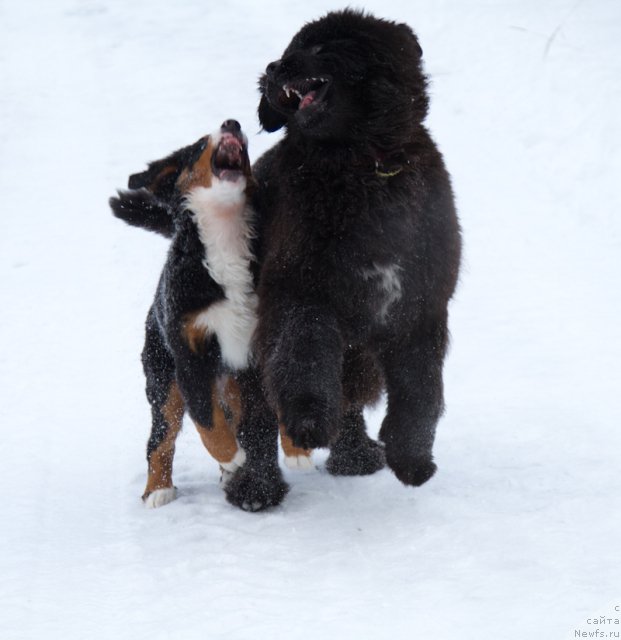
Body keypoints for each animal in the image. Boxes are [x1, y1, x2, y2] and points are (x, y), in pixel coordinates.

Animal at [110, 119, 294, 510]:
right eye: (197, 146)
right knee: (161, 437)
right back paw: (158, 489)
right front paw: (232, 457)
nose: (232, 123)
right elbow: (206, 419)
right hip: (162, 377)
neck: (225, 236)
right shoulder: (189, 353)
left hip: (235, 381)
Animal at [252, 7, 460, 490]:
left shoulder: (420, 306)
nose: (273, 68)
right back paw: (257, 490)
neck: (363, 165)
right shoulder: (301, 290)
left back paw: (355, 457)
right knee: (254, 421)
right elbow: (304, 355)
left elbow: (422, 390)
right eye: (291, 48)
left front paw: (411, 458)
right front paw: (309, 420)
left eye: (320, 47)